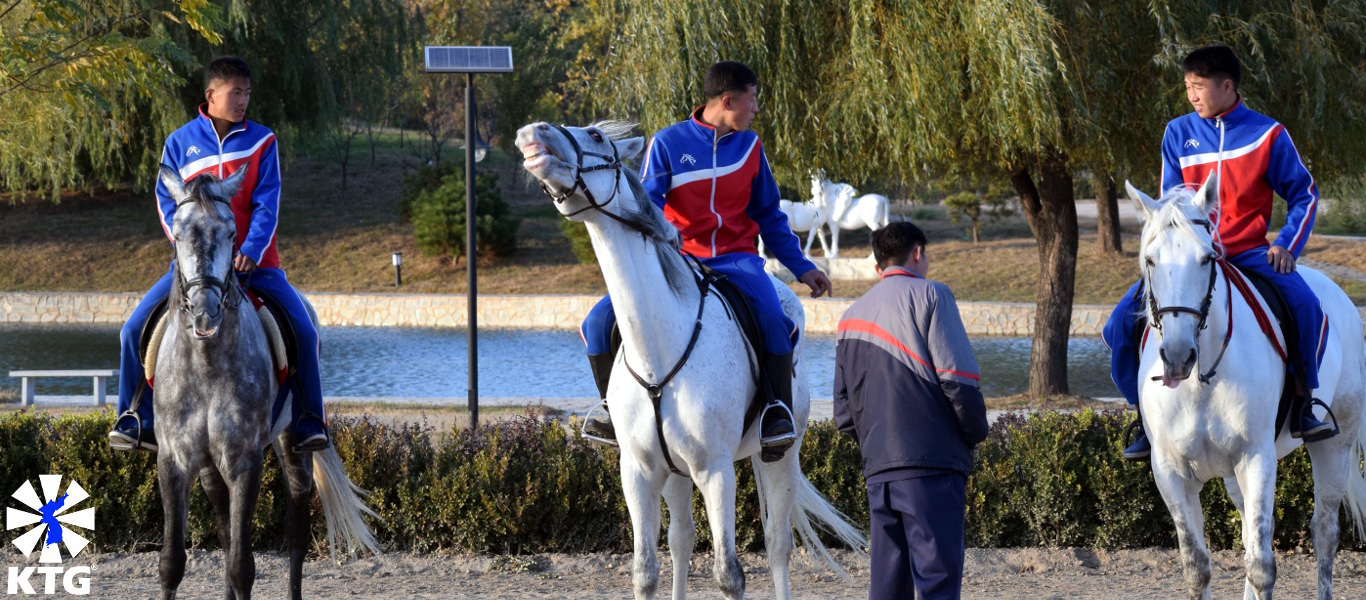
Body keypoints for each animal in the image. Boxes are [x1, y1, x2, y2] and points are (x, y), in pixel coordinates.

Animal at [153, 165, 379, 600]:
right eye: (179, 231)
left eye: (230, 234)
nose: (205, 311)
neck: (206, 365)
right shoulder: (174, 461)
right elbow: (173, 562)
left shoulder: (245, 461)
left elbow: (243, 565)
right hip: (211, 469)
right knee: (226, 532)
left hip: (294, 448)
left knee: (296, 536)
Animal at [513, 122, 863, 600]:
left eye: (596, 137)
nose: (534, 133)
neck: (659, 349)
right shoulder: (639, 473)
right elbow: (647, 570)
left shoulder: (715, 471)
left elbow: (729, 574)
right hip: (677, 472)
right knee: (681, 540)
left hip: (783, 456)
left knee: (777, 544)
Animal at [1131, 171, 1366, 598]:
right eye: (1151, 260)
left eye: (1207, 258)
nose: (1177, 356)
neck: (1200, 380)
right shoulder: (1169, 471)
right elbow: (1198, 567)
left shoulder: (1256, 458)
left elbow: (1262, 566)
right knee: (1247, 535)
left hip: (1334, 446)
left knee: (1324, 532)